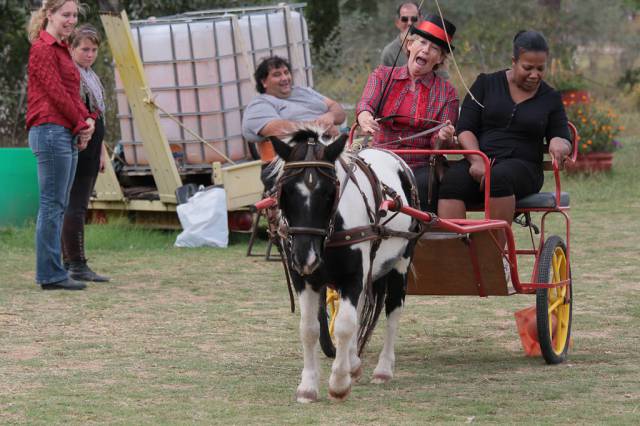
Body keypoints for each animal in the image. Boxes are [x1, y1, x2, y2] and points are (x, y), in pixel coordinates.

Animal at [266, 127, 420, 402]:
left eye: (329, 192)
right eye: (286, 191)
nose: (304, 257)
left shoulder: (353, 276)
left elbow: (345, 326)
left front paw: (338, 382)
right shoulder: (304, 279)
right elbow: (310, 328)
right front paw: (308, 386)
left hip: (401, 261)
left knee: (393, 310)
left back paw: (382, 369)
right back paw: (354, 362)